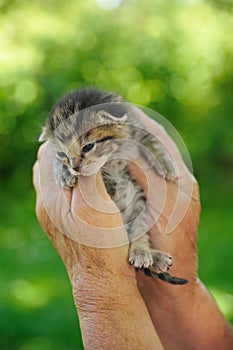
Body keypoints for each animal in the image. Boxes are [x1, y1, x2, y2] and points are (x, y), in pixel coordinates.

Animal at [38, 87, 187, 284]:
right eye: (62, 154)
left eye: (88, 146)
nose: (75, 167)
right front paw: (63, 173)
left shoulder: (135, 125)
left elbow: (152, 140)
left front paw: (166, 164)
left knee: (139, 228)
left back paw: (142, 251)